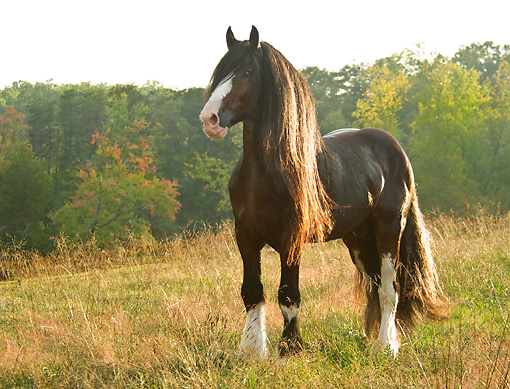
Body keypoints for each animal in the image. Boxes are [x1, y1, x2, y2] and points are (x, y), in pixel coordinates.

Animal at [199, 25, 446, 356]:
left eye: (248, 72)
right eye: (220, 72)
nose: (209, 119)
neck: (265, 174)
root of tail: (394, 148)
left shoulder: (290, 240)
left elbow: (288, 294)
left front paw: (289, 349)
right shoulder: (245, 236)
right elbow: (252, 292)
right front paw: (252, 351)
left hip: (389, 229)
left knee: (389, 288)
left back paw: (385, 347)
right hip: (358, 241)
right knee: (376, 287)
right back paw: (381, 340)